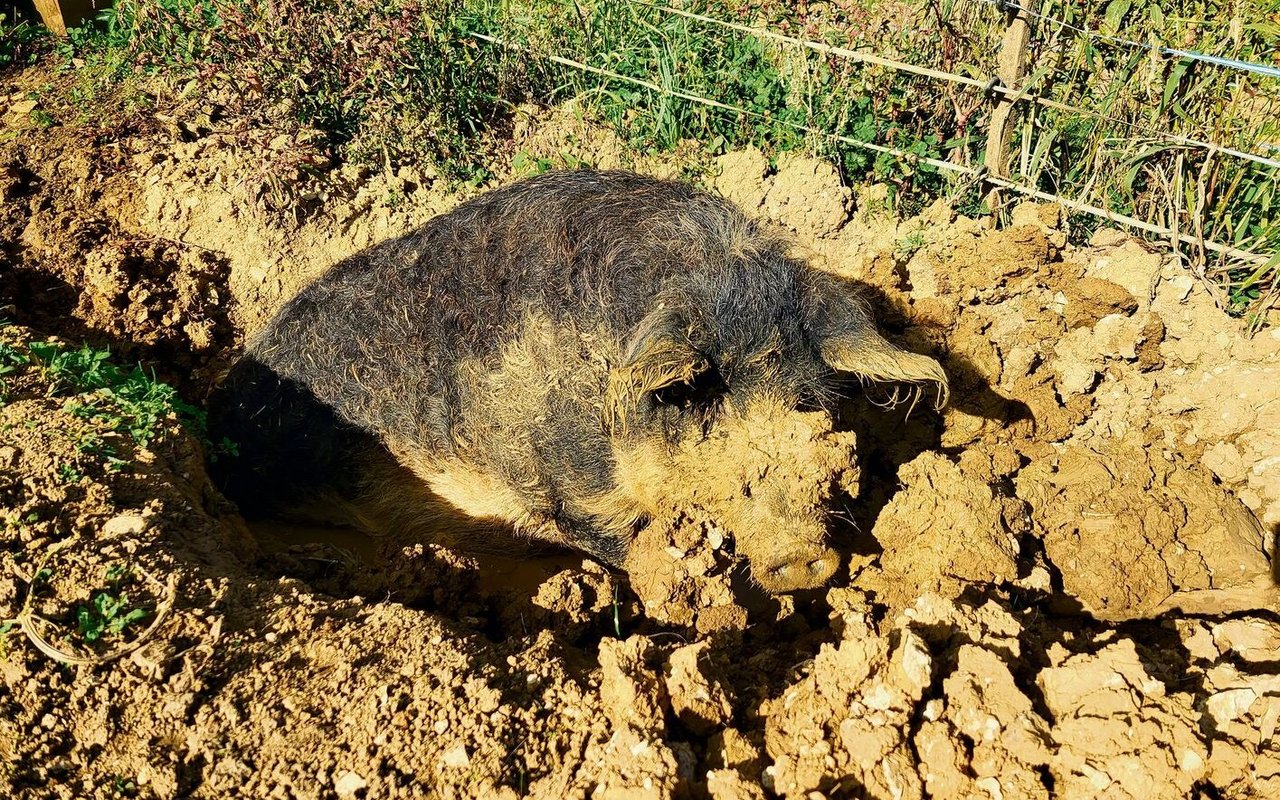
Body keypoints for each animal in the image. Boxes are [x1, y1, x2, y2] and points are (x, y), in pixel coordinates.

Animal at [209, 170, 947, 593]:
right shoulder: (571, 496)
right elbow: (619, 545)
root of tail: (219, 404)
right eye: (695, 398)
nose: (801, 558)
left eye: (803, 403)